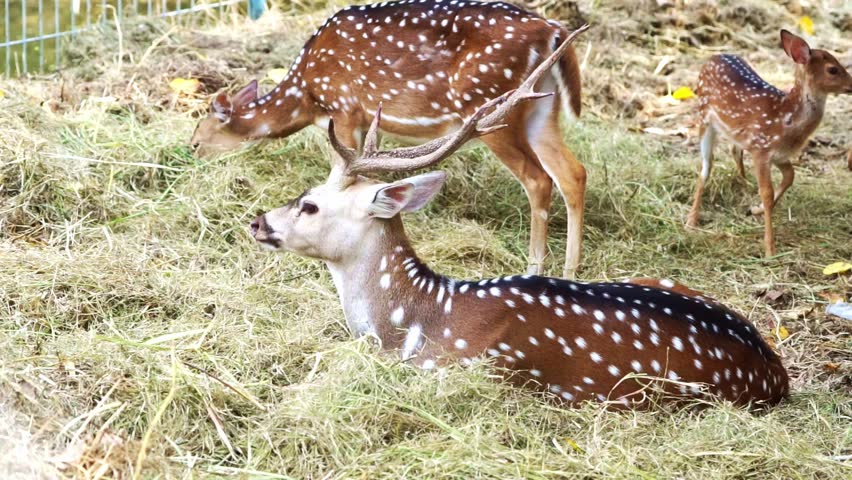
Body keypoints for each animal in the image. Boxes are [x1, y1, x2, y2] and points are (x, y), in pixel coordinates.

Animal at [191, 0, 587, 279]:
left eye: (196, 139)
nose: (189, 153)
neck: (306, 95)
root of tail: (552, 29)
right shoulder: (367, 122)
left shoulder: (344, 109)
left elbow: (339, 170)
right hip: (541, 108)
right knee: (573, 173)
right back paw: (571, 272)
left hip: (491, 106)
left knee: (538, 179)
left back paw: (534, 269)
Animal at [687, 30, 852, 257]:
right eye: (833, 69)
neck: (786, 120)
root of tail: (713, 57)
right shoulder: (761, 149)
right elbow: (767, 192)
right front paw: (769, 248)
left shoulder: (780, 154)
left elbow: (790, 177)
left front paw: (754, 209)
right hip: (704, 116)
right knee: (706, 166)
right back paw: (691, 221)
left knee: (734, 150)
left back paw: (742, 185)